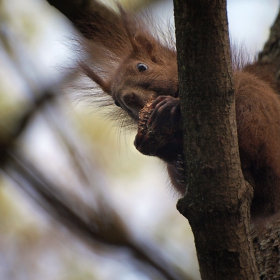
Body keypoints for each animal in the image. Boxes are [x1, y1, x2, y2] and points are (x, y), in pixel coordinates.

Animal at [75, 3, 280, 219]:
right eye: (115, 102)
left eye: (142, 67)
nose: (127, 98)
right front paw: (153, 144)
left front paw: (172, 105)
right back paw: (179, 166)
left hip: (255, 119)